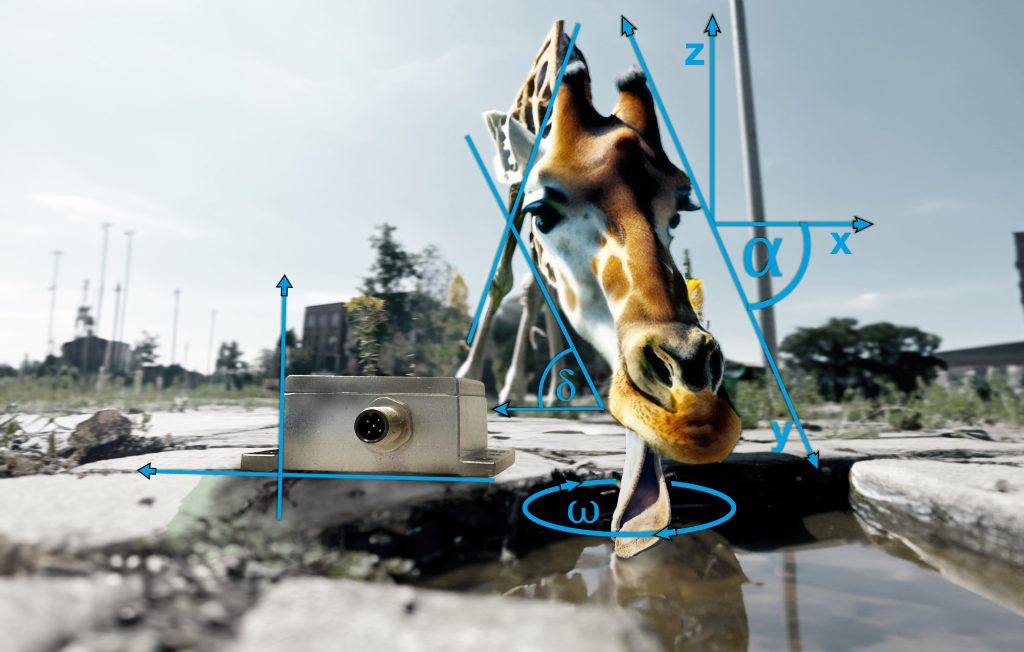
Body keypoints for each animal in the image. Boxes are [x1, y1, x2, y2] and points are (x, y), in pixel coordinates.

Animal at [471, 21, 742, 558]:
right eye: (543, 209)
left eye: (677, 213)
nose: (693, 414)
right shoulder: (516, 194)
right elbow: (502, 280)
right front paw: (471, 378)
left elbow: (542, 291)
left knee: (539, 292)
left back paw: (547, 395)